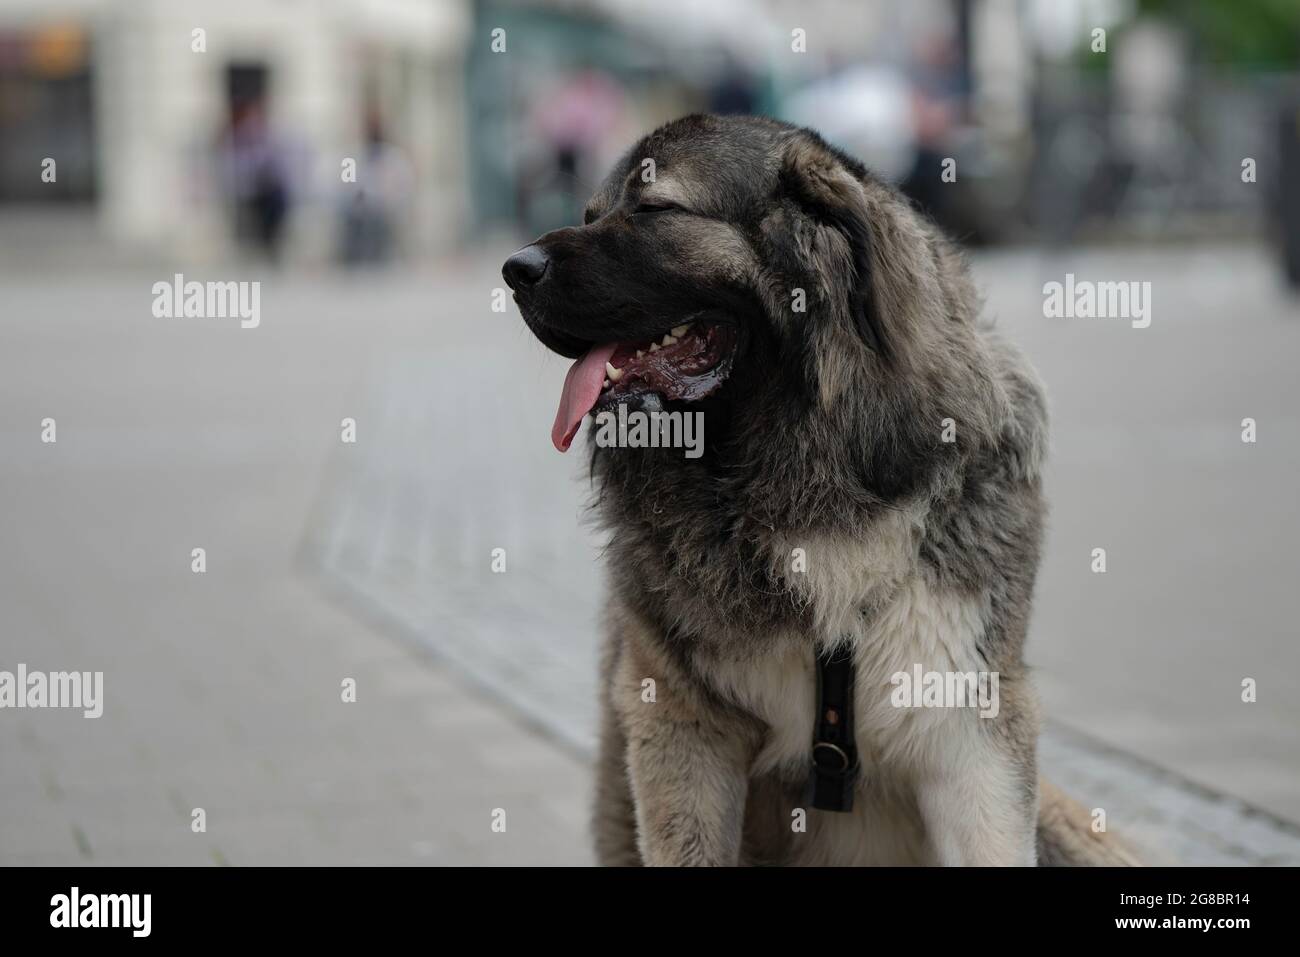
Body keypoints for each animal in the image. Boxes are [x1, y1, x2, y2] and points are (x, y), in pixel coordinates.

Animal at [501, 113, 1133, 868]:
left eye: (654, 210)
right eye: (590, 215)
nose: (514, 269)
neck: (807, 467)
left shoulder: (969, 726)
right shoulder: (681, 725)